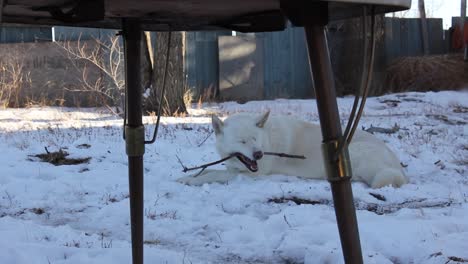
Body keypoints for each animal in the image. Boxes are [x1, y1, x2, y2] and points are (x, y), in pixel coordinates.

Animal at [177, 111, 408, 188]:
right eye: (242, 141)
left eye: (254, 139)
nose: (259, 154)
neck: (268, 139)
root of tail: (398, 165)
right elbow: (209, 169)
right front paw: (187, 177)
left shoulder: (251, 175)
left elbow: (212, 174)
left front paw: (191, 180)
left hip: (357, 153)